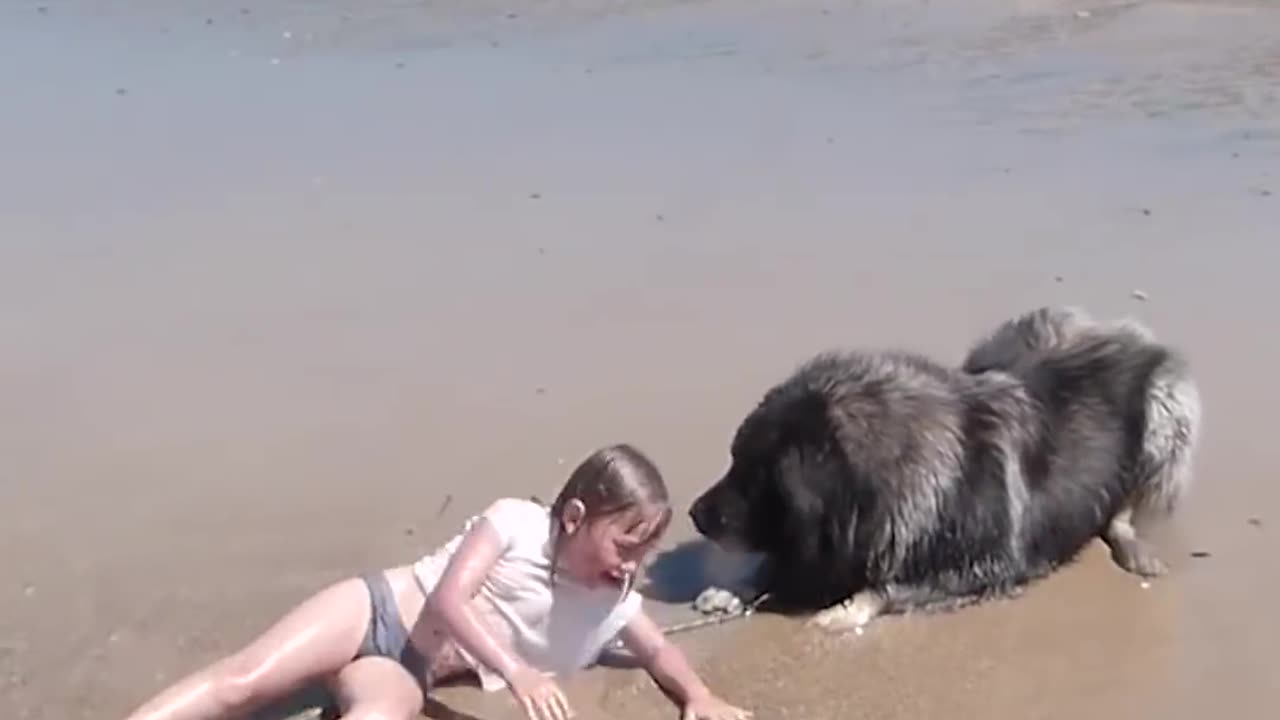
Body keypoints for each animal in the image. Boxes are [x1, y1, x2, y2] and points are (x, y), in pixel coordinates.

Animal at [691, 304, 1198, 630]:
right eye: (735, 462)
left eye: (751, 477)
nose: (694, 513)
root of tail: (1124, 330)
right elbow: (780, 565)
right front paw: (734, 590)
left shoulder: (988, 566)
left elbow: (887, 589)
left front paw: (842, 611)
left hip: (1165, 410)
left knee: (1125, 507)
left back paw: (1133, 546)